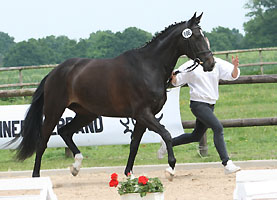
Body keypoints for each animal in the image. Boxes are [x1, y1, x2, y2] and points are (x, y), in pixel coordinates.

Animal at [14, 12, 215, 177]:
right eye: (196, 37)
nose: (210, 63)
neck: (149, 67)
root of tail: (54, 73)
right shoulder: (143, 113)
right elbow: (166, 134)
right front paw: (170, 168)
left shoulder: (143, 117)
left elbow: (134, 144)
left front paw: (129, 174)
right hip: (54, 110)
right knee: (43, 140)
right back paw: (36, 175)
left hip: (87, 113)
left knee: (65, 131)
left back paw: (76, 166)